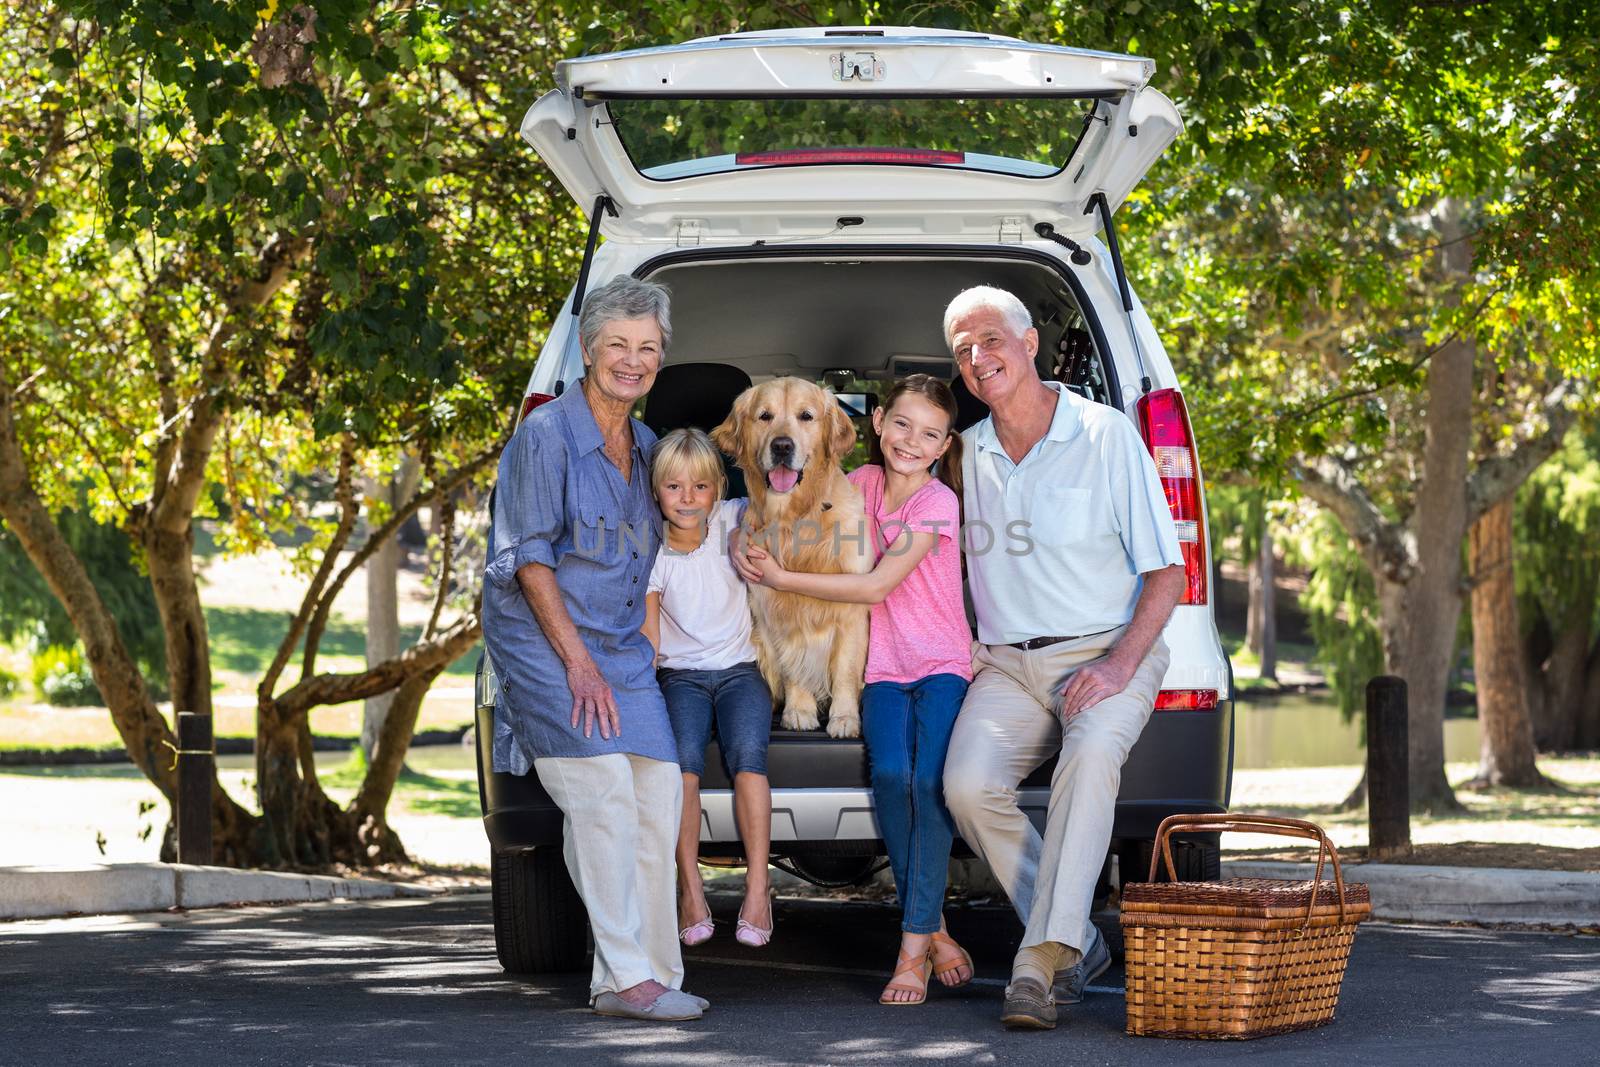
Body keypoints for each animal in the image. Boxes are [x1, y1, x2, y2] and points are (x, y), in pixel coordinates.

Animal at [710, 379, 870, 739]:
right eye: (765, 416)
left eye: (806, 416)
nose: (782, 446)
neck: (796, 518)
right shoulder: (778, 612)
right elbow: (794, 665)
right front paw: (799, 711)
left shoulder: (852, 615)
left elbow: (845, 671)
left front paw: (844, 718)